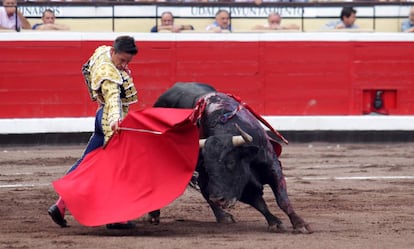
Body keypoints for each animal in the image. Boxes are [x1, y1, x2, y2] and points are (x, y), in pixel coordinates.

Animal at [151, 82, 310, 233]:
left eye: (231, 162)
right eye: (208, 167)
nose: (218, 199)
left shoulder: (272, 166)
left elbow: (282, 200)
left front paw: (300, 225)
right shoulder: (240, 185)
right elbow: (259, 203)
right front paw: (276, 223)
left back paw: (222, 216)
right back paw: (154, 216)